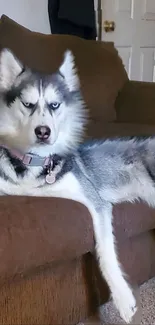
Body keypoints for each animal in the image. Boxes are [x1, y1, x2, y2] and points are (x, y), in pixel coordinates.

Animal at [0, 46, 153, 322]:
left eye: (55, 105)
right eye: (28, 104)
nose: (43, 132)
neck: (34, 165)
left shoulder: (96, 202)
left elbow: (105, 251)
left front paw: (123, 299)